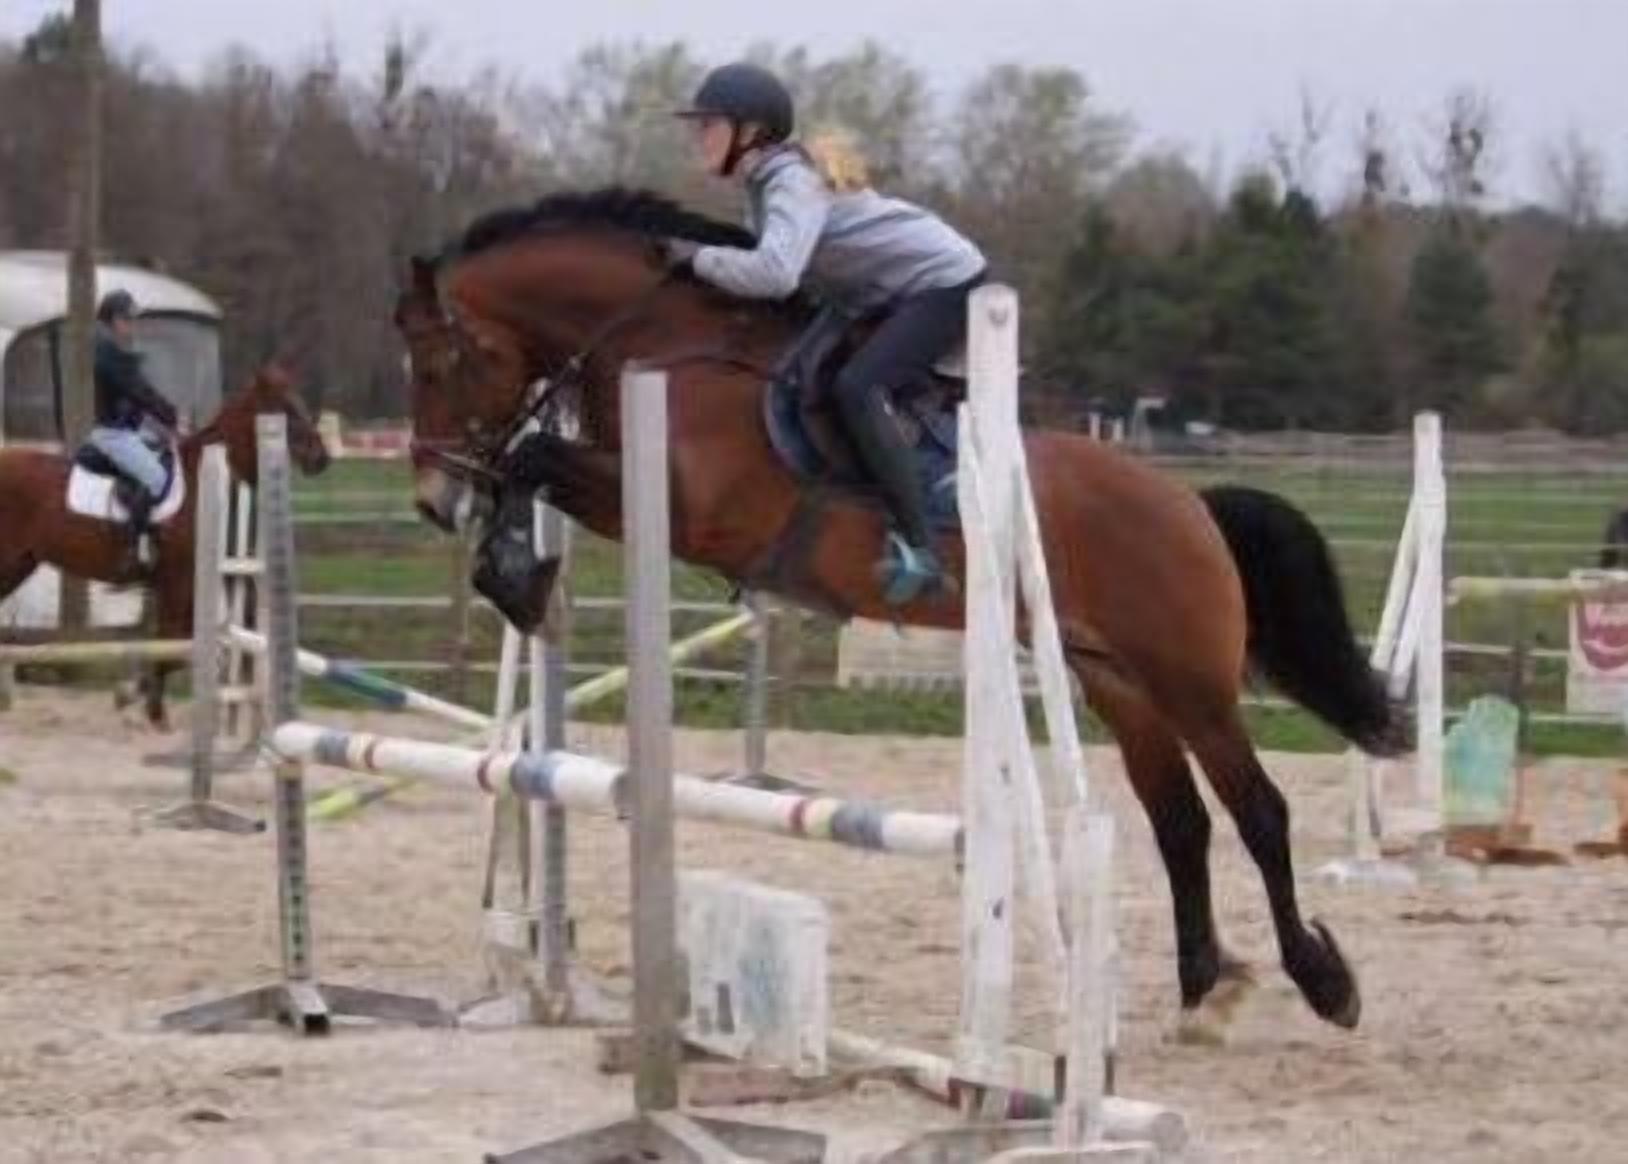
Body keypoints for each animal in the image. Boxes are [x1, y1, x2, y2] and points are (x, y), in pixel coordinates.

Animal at [0, 363, 332, 728]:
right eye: (284, 408)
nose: (321, 458)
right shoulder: (178, 580)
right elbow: (174, 642)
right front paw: (148, 704)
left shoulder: (191, 581)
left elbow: (185, 640)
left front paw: (137, 695)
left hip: (19, 564)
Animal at [392, 187, 1409, 1038]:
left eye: (444, 360)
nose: (435, 501)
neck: (674, 348)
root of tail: (1191, 504)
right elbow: (528, 464)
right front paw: (517, 578)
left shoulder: (693, 510)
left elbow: (529, 458)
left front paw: (513, 567)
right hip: (1116, 682)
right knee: (1181, 823)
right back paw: (1204, 988)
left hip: (1190, 681)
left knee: (1259, 813)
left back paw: (1325, 982)